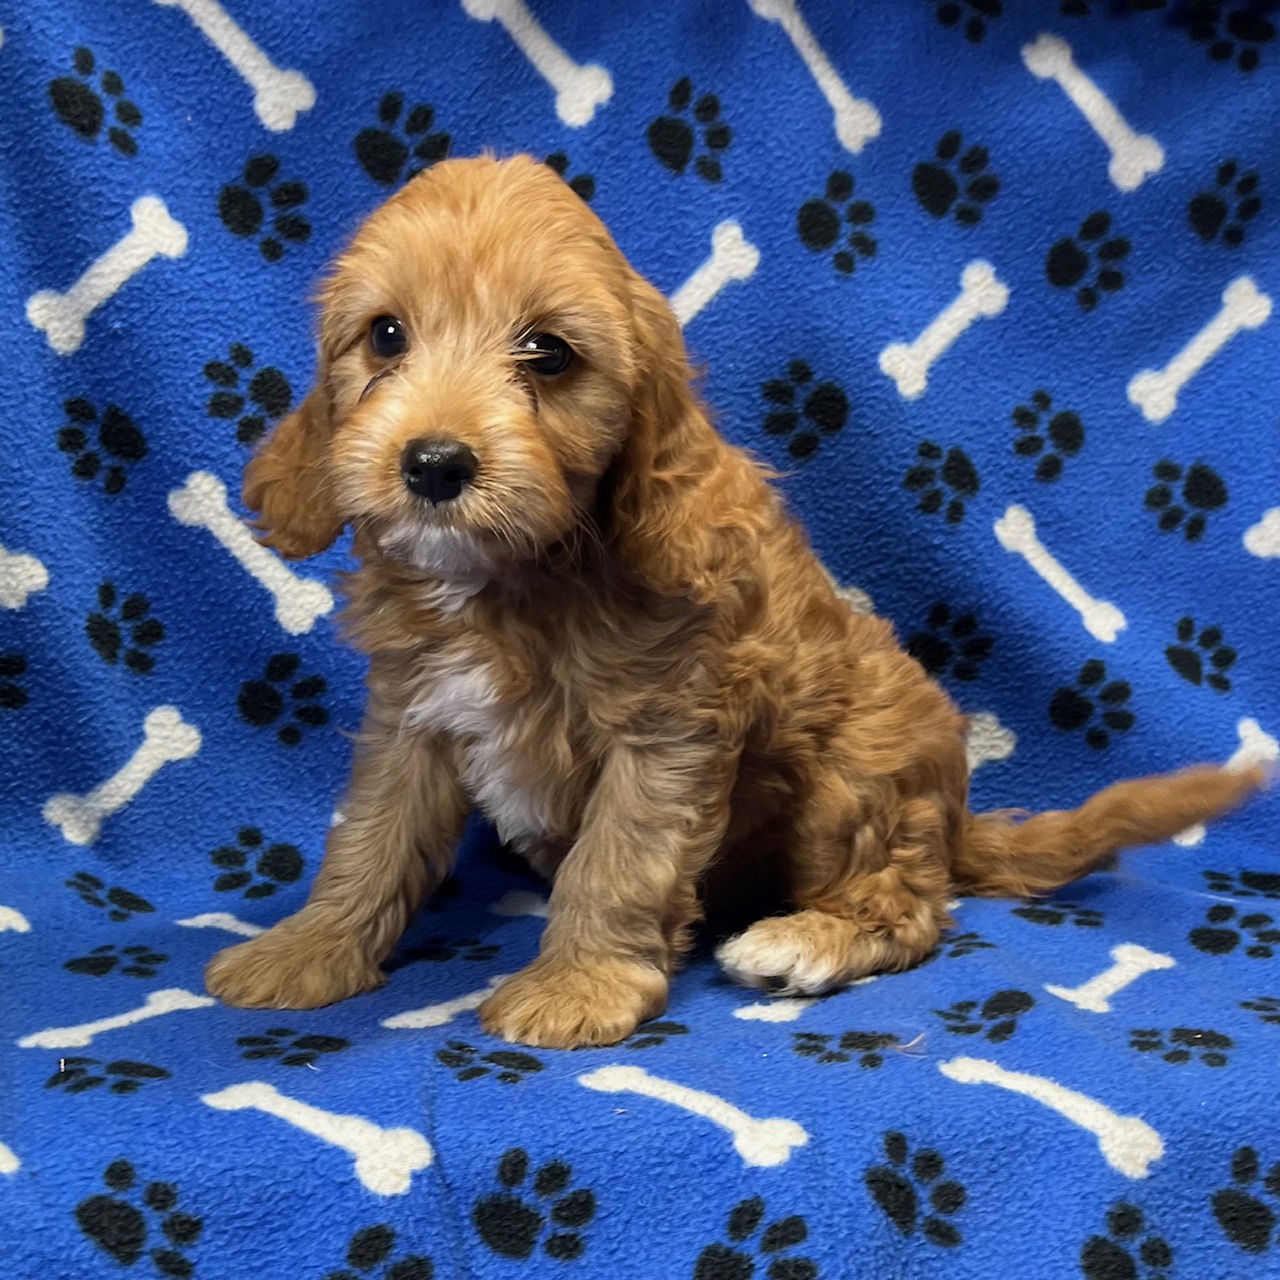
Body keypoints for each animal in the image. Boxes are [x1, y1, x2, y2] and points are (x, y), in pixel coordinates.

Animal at [204, 154, 1264, 1044]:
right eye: (386, 336)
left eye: (549, 353)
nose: (432, 463)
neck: (516, 577)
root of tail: (954, 814)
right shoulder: (412, 717)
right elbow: (371, 839)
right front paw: (310, 950)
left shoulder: (666, 736)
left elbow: (617, 865)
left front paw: (578, 985)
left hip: (855, 778)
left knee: (909, 905)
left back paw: (804, 939)